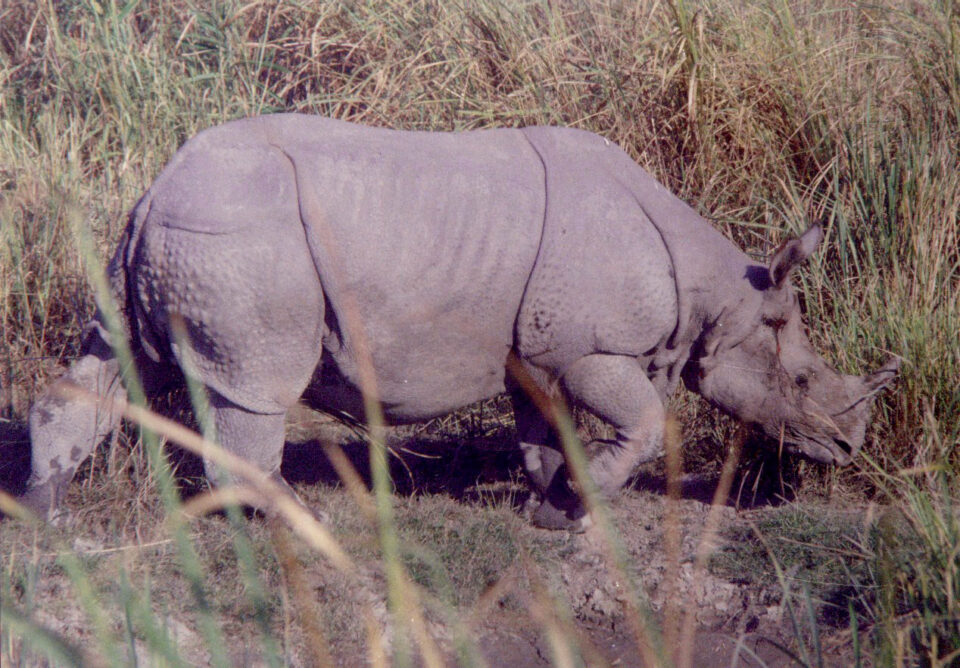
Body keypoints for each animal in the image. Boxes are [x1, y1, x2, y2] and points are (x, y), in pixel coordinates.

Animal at [22, 114, 899, 529]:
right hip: (240, 244)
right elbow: (646, 422)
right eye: (801, 380)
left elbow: (544, 426)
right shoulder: (592, 347)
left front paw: (550, 498)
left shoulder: (535, 350)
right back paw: (298, 524)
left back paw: (43, 507)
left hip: (172, 240)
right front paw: (573, 509)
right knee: (255, 389)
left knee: (116, 356)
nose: (852, 448)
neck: (718, 297)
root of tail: (155, 189)